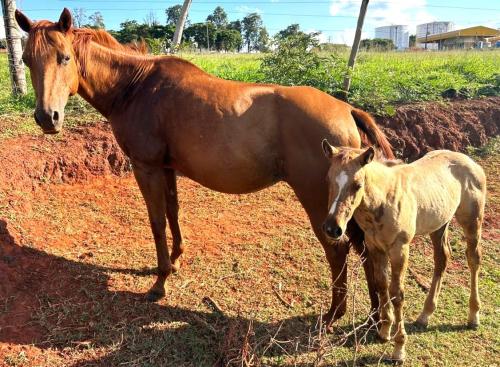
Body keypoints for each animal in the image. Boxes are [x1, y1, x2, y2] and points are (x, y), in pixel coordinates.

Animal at [14, 7, 394, 324]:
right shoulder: (167, 169)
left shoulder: (146, 168)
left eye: (64, 57)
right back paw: (374, 317)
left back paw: (334, 314)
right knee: (365, 251)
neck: (136, 86)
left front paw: (160, 282)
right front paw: (176, 260)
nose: (47, 118)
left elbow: (156, 222)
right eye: (27, 60)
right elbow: (173, 213)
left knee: (339, 250)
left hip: (318, 202)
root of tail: (346, 109)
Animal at [320, 142, 484, 364]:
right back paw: (425, 315)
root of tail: (470, 161)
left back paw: (473, 316)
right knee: (442, 258)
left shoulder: (400, 250)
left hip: (472, 222)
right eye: (328, 180)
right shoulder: (375, 247)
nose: (332, 229)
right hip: (439, 224)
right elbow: (381, 285)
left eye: (357, 185)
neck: (384, 200)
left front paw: (399, 349)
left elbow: (397, 294)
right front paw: (384, 331)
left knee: (473, 259)